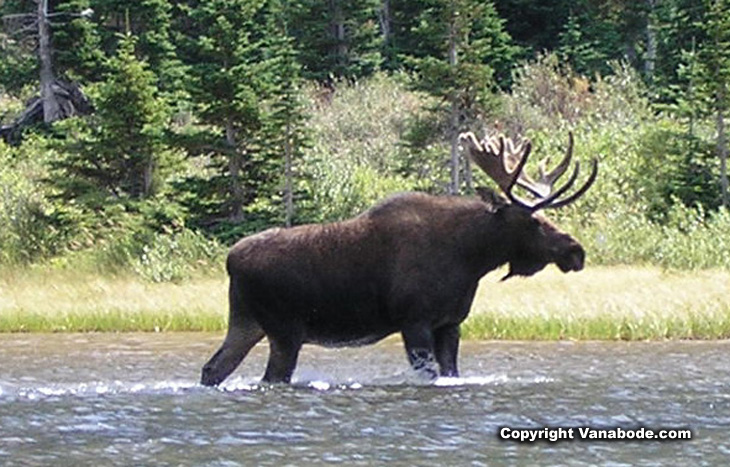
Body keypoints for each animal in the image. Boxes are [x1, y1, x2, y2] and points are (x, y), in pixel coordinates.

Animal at [200, 130, 596, 386]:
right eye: (533, 221)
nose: (575, 250)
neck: (472, 259)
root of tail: (231, 259)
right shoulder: (414, 320)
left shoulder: (449, 323)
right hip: (284, 329)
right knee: (268, 377)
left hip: (246, 322)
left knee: (213, 368)